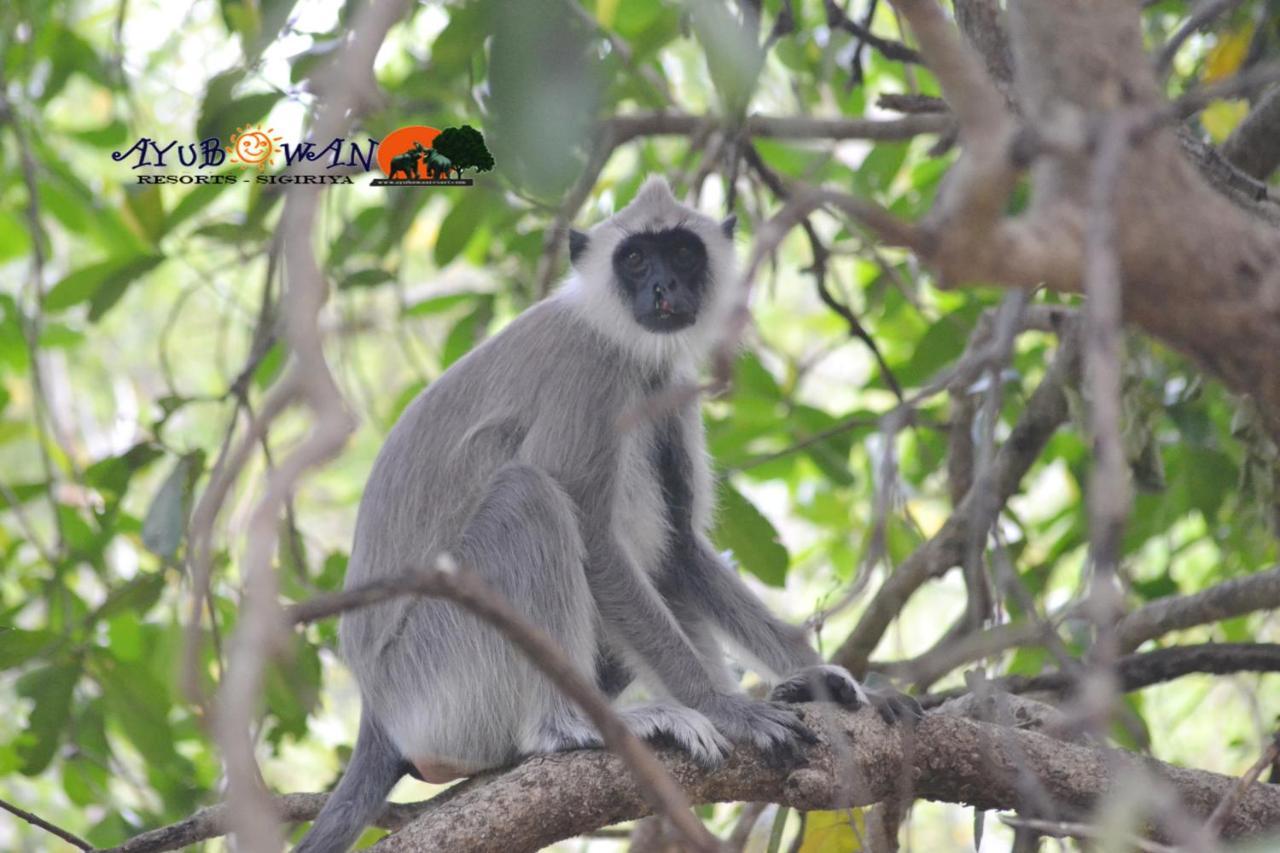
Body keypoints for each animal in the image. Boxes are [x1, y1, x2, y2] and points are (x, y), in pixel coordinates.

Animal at [296, 175, 921, 845]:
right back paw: (570, 730)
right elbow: (593, 537)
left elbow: (680, 549)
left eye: (682, 254)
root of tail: (377, 715)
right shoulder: (588, 371)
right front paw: (726, 708)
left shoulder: (667, 388)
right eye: (636, 259)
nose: (662, 288)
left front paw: (842, 683)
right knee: (529, 496)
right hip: (436, 675)